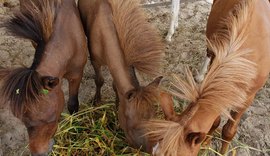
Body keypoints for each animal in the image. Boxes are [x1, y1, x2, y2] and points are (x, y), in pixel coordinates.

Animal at [0, 0, 86, 155]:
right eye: (22, 120)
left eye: (51, 119)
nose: (38, 153)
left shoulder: (76, 75)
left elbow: (72, 104)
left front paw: (75, 127)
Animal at [78, 0, 165, 152]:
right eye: (134, 124)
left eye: (154, 115)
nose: (155, 149)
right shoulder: (95, 61)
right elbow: (99, 80)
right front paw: (97, 100)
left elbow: (115, 86)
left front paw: (116, 104)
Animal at [141, 0, 270, 155]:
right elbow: (216, 120)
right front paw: (207, 142)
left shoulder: (248, 97)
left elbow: (229, 131)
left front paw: (222, 152)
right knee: (208, 52)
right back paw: (201, 74)